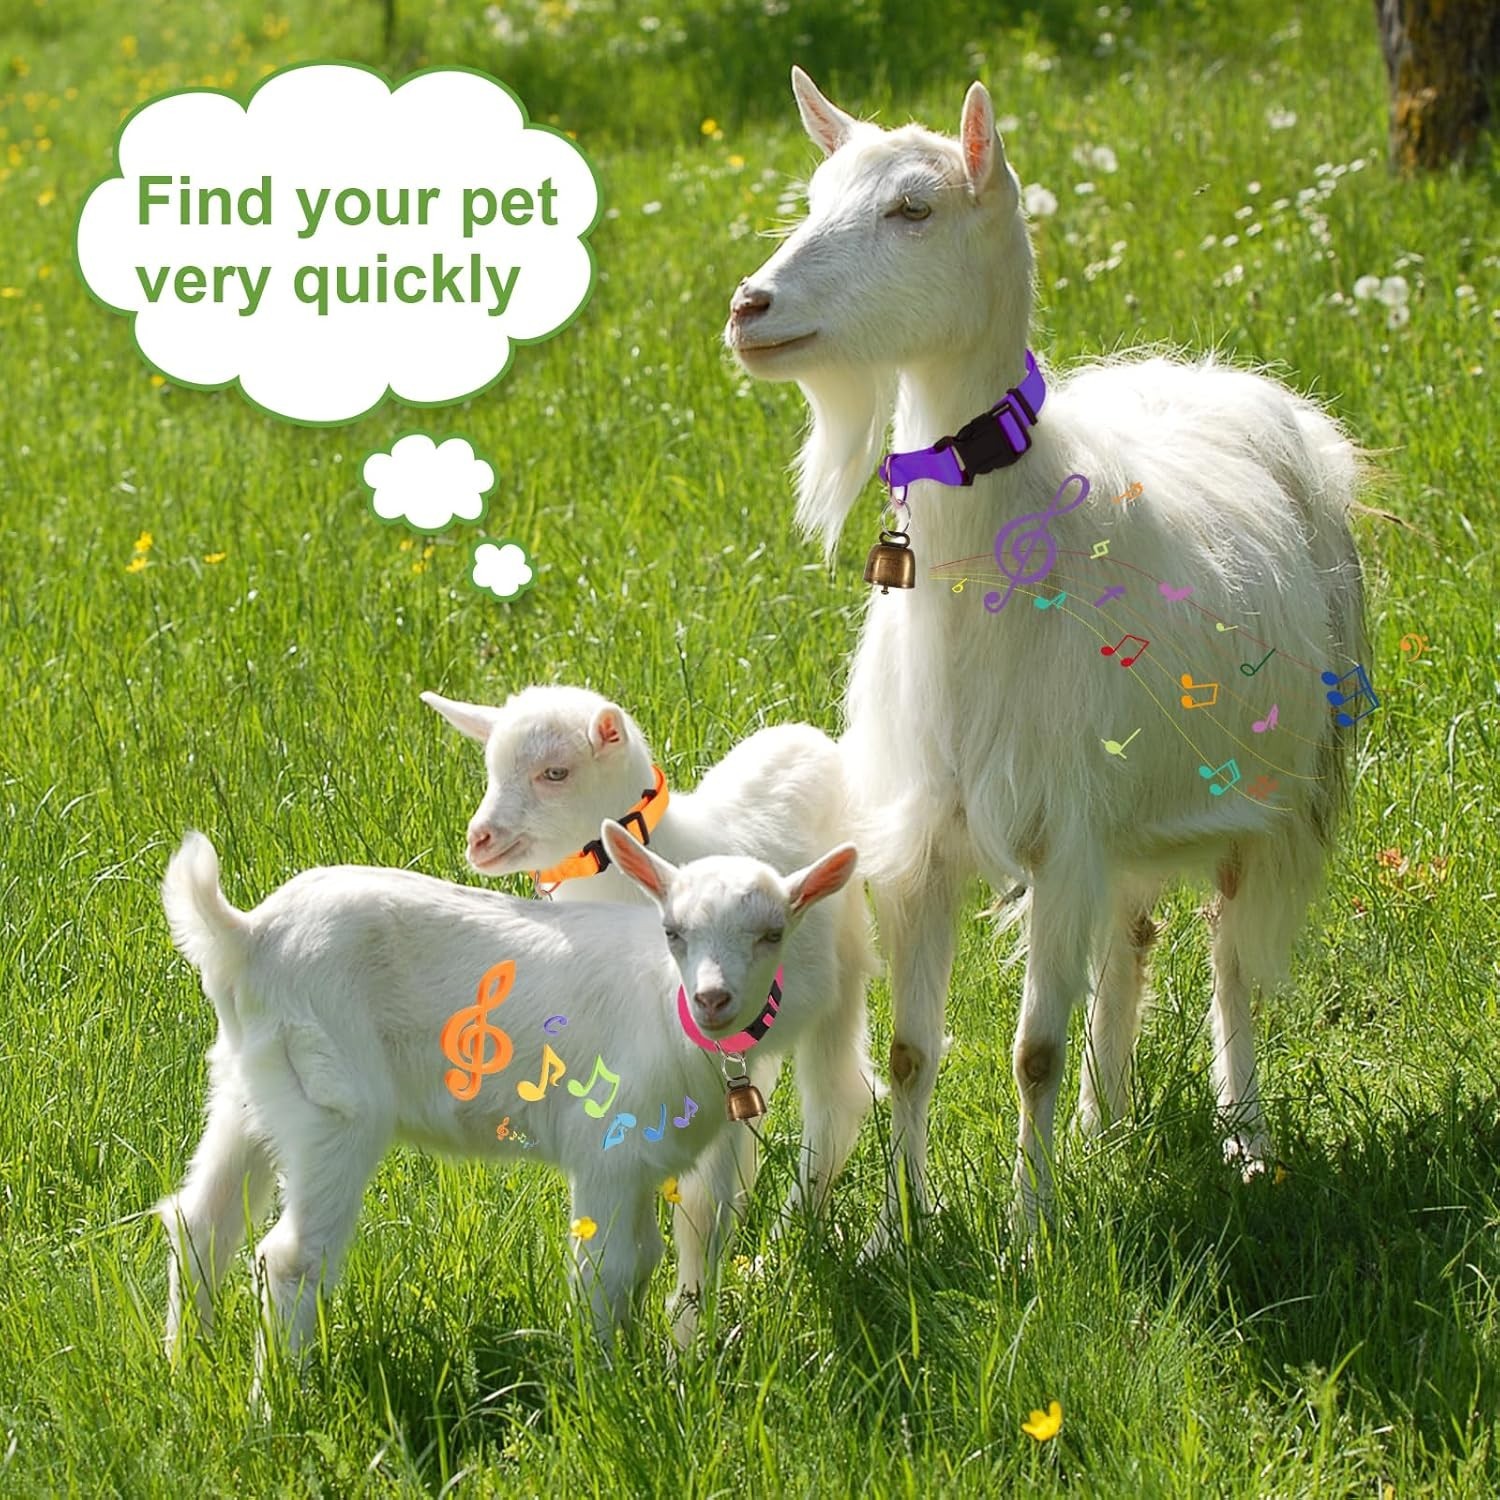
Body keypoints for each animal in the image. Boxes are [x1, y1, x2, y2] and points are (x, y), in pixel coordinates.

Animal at [157, 821, 857, 1399]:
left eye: (772, 933)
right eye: (673, 933)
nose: (713, 999)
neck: (666, 1007)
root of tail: (246, 937)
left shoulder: (640, 1165)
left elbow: (643, 1261)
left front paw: (639, 1369)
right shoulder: (606, 1148)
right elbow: (605, 1269)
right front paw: (608, 1395)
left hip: (251, 1083)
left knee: (202, 1218)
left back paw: (188, 1367)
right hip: (332, 1102)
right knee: (292, 1256)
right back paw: (276, 1407)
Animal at [422, 685, 880, 1337]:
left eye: (555, 772)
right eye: (489, 768)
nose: (479, 839)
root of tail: (805, 735)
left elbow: (699, 1205)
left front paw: (687, 1331)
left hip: (844, 966)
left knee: (838, 1099)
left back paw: (784, 1247)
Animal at [725, 68, 1367, 1246]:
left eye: (914, 208)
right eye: (817, 194)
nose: (751, 308)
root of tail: (1219, 378)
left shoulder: (1061, 833)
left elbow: (1032, 1052)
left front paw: (1030, 1239)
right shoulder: (929, 842)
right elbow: (909, 1053)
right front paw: (902, 1231)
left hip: (1265, 797)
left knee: (1232, 966)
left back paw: (1244, 1140)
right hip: (1122, 814)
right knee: (1133, 939)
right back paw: (1106, 1126)